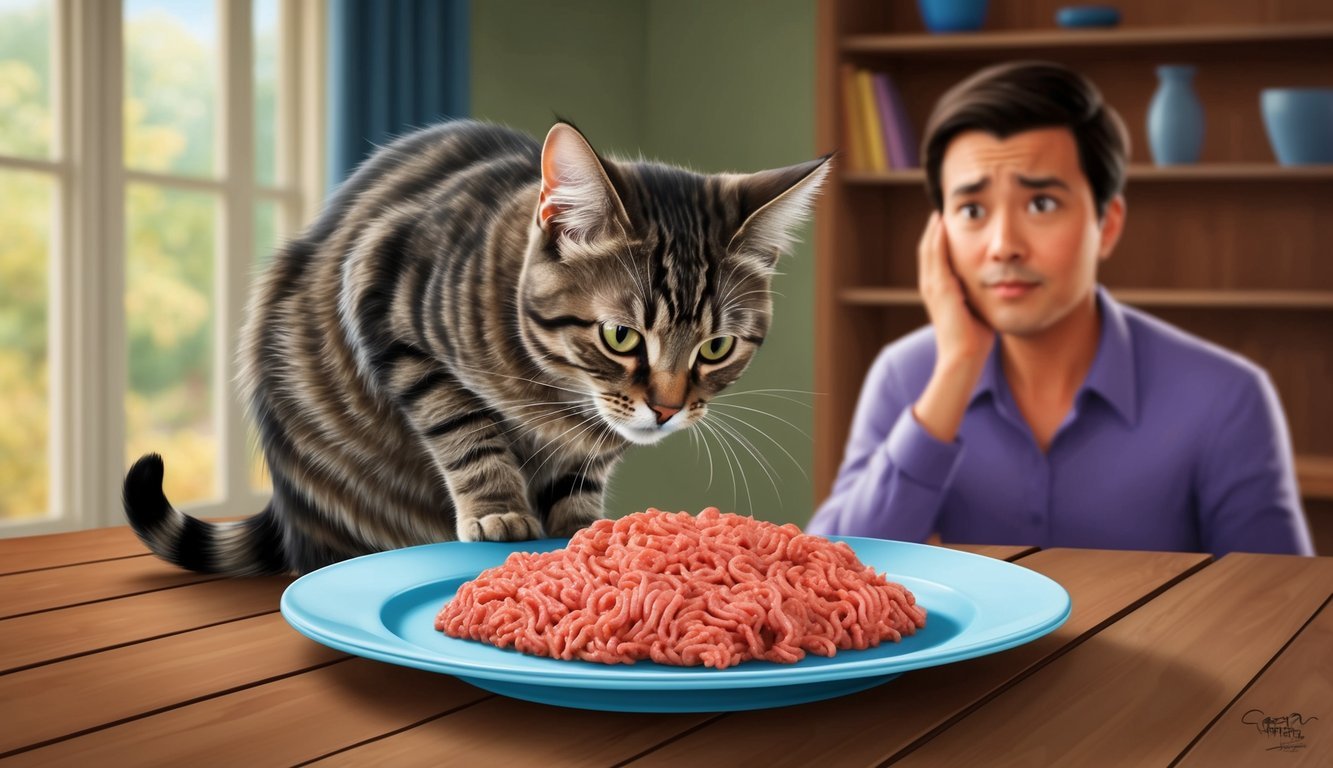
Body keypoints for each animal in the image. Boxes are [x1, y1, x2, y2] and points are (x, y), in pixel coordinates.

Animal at [127, 120, 831, 573]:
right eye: (621, 336)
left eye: (716, 347)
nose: (666, 408)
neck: (558, 401)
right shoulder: (382, 299)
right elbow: (466, 427)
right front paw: (499, 510)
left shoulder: (592, 444)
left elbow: (580, 476)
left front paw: (582, 531)